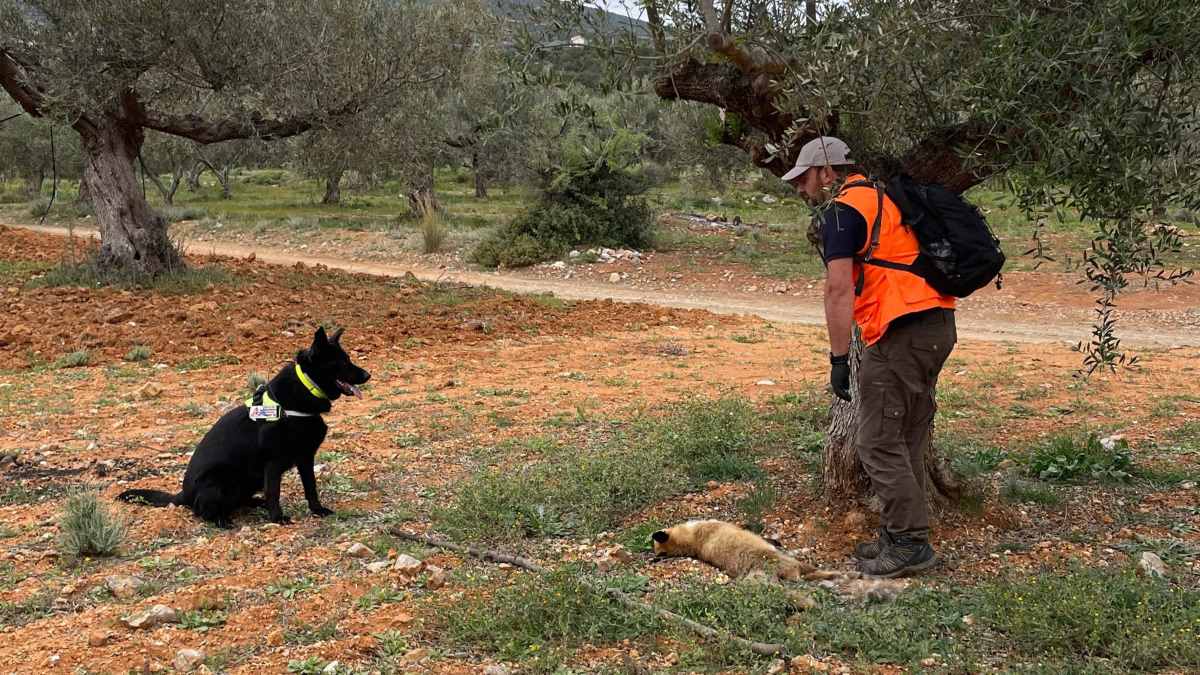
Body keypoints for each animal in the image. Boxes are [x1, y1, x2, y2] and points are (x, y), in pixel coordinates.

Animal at [119, 326, 369, 526]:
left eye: (348, 359)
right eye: (342, 362)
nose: (368, 374)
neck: (304, 389)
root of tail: (184, 494)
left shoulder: (305, 458)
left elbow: (311, 487)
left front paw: (317, 510)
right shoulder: (273, 463)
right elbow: (274, 492)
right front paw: (277, 518)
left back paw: (255, 503)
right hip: (220, 480)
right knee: (202, 511)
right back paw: (222, 520)